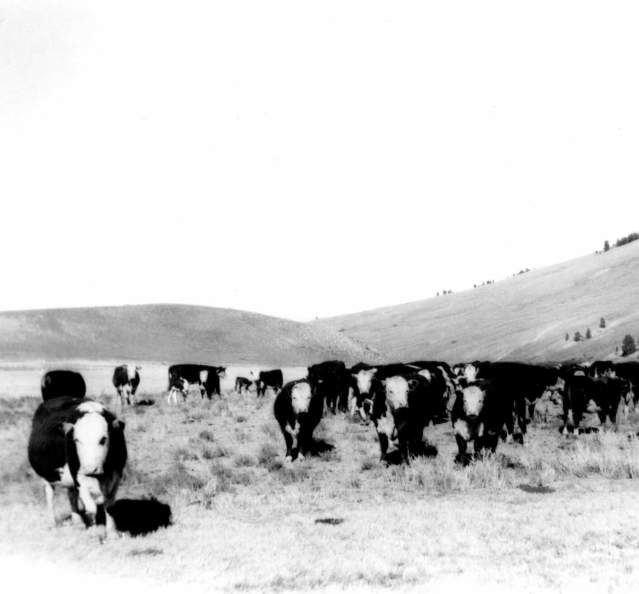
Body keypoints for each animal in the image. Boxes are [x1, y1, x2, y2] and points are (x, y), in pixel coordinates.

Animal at [27, 396, 127, 540]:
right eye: (77, 440)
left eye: (103, 439)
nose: (90, 469)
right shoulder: (79, 478)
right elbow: (92, 506)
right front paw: (97, 531)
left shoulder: (116, 476)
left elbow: (108, 505)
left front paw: (112, 532)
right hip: (46, 477)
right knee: (49, 495)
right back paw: (52, 523)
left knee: (72, 496)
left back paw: (78, 522)